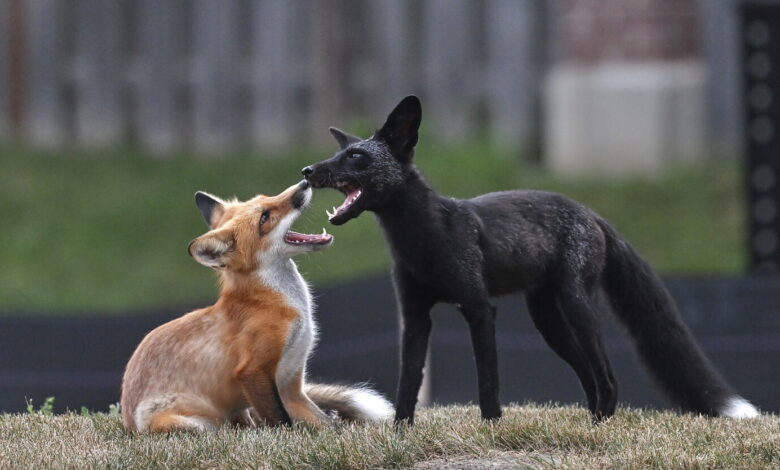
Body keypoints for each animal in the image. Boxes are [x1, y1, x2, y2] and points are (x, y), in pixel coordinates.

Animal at [120, 180, 393, 432]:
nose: (304, 181)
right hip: (191, 424)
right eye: (264, 217)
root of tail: (127, 422)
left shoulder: (291, 387)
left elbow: (327, 425)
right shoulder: (253, 371)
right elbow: (282, 423)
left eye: (266, 197)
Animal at [302, 95, 760, 424]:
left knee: (607, 375)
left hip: (576, 307)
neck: (422, 242)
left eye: (356, 158)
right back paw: (591, 420)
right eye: (340, 154)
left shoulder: (480, 309)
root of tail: (591, 212)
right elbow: (406, 386)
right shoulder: (414, 317)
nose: (307, 171)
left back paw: (600, 424)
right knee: (588, 375)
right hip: (548, 322)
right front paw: (400, 433)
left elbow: (488, 383)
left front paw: (491, 428)